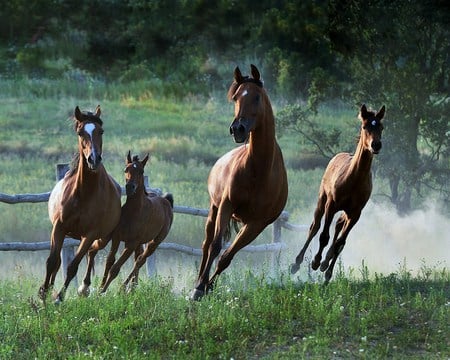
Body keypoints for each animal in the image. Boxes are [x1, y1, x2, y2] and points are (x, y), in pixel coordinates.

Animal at [38, 105, 121, 302]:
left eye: (101, 131)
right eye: (80, 132)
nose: (94, 159)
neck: (84, 194)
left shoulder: (90, 234)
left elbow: (73, 266)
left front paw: (59, 298)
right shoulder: (59, 227)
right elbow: (52, 261)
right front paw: (44, 294)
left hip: (103, 238)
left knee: (92, 253)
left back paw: (84, 287)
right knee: (60, 261)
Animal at [99, 150, 175, 294]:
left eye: (141, 171)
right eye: (125, 169)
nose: (130, 187)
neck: (133, 212)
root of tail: (166, 201)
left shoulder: (131, 243)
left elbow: (115, 268)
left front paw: (104, 292)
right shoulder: (117, 238)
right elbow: (109, 261)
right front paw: (100, 289)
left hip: (154, 242)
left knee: (140, 260)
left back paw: (125, 288)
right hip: (140, 243)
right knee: (138, 259)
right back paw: (132, 288)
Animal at [190, 64, 288, 300]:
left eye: (256, 97)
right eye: (235, 97)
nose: (238, 129)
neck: (259, 170)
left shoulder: (257, 224)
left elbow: (227, 256)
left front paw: (209, 286)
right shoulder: (227, 205)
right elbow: (216, 246)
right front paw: (199, 287)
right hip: (214, 209)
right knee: (206, 244)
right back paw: (197, 282)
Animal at [290, 102, 384, 282]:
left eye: (381, 127)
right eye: (365, 126)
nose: (376, 145)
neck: (354, 179)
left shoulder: (355, 213)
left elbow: (340, 243)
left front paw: (326, 266)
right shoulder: (331, 205)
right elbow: (323, 236)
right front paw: (316, 262)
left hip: (345, 213)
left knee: (339, 229)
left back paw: (326, 268)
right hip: (322, 200)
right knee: (315, 227)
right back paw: (297, 263)